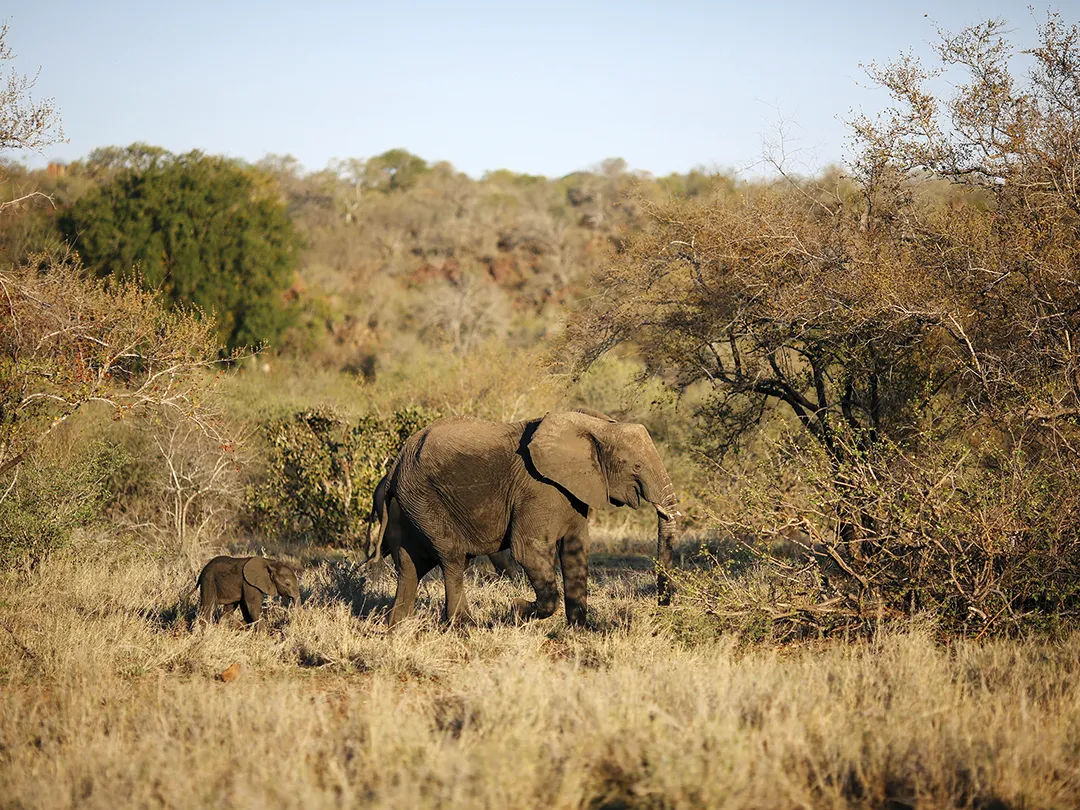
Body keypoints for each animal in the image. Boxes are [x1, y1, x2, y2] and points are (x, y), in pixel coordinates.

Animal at [366, 409, 678, 627]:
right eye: (636, 466)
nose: (661, 607)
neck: (593, 425)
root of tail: (395, 465)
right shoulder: (539, 488)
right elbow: (528, 550)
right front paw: (516, 608)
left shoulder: (573, 490)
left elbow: (576, 550)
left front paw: (580, 631)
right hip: (424, 498)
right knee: (452, 559)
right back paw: (464, 626)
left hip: (411, 506)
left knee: (411, 565)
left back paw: (396, 628)